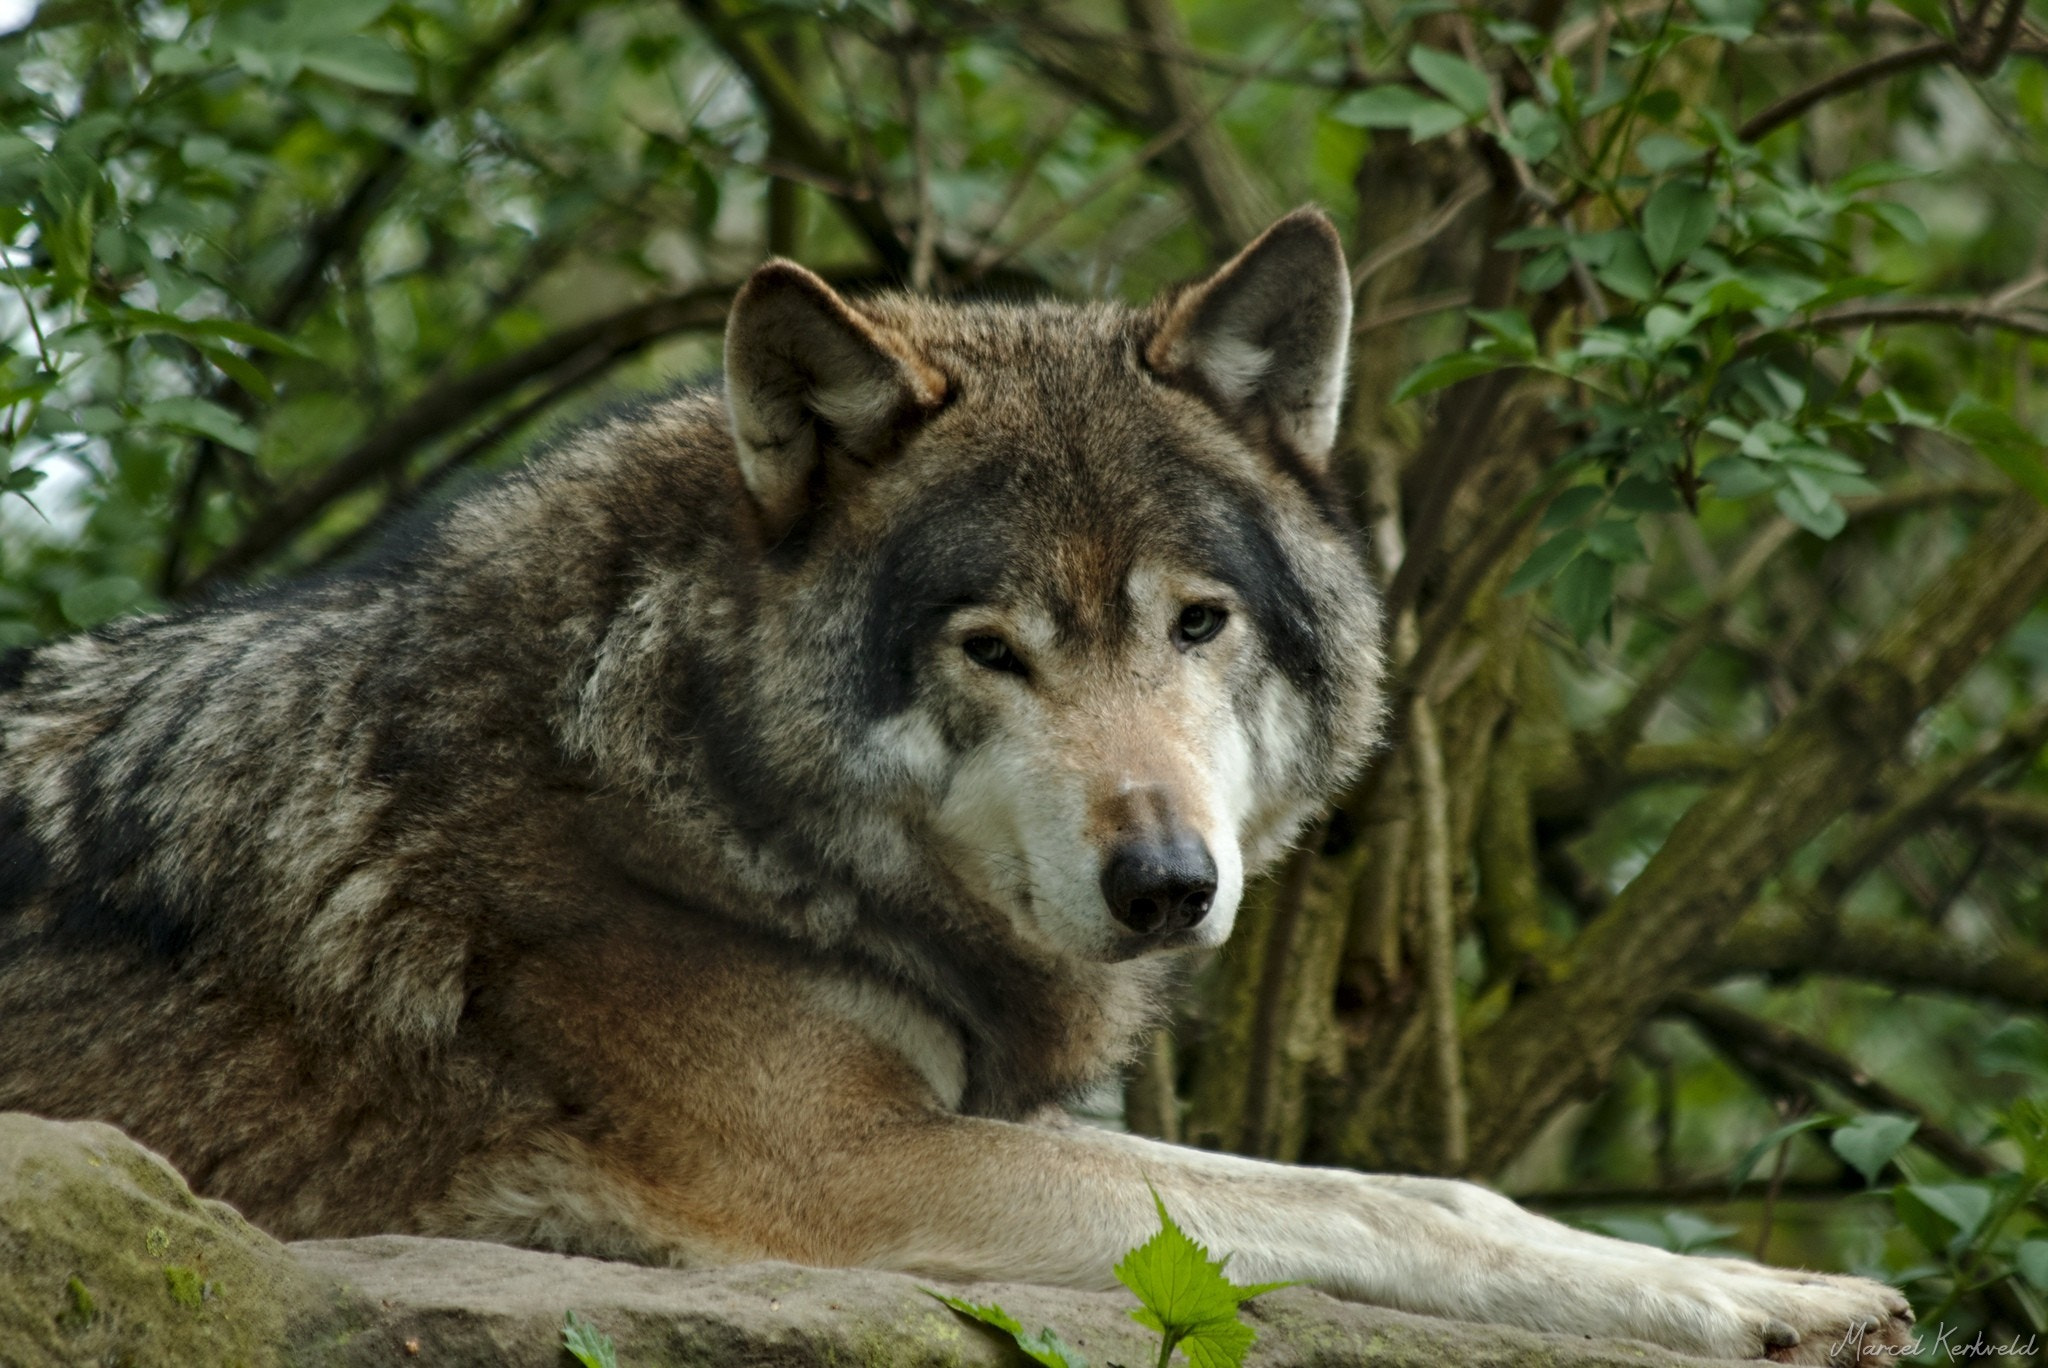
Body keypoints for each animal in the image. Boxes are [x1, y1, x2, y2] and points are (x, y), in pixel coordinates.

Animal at [0, 208, 1909, 1362]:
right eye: (992, 648)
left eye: (1195, 621)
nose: (1167, 886)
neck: (665, 781)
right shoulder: (847, 1173)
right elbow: (1373, 1200)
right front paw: (1746, 1299)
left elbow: (1404, 1191)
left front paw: (1756, 1281)